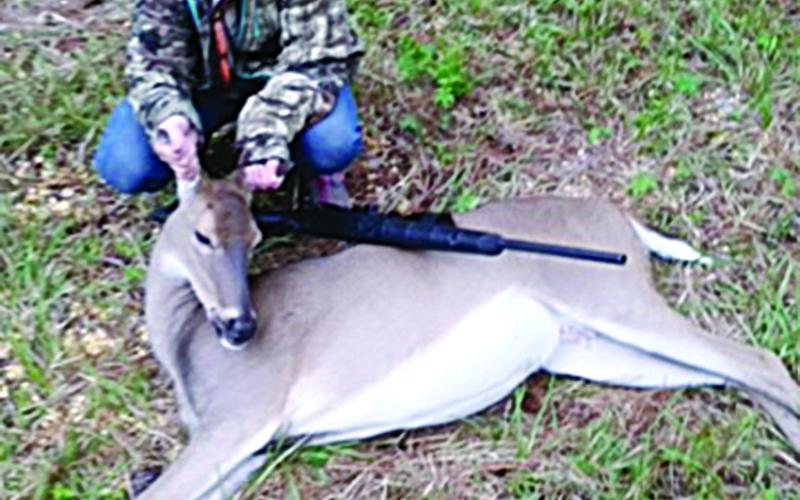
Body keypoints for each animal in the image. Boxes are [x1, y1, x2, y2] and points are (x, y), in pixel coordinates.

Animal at [138, 174, 800, 499]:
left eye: (254, 237)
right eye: (202, 235)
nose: (241, 325)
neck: (185, 343)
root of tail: (623, 222)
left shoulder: (242, 416)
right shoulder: (247, 446)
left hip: (608, 296)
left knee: (758, 358)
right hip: (586, 346)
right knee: (729, 373)